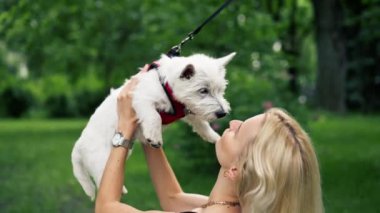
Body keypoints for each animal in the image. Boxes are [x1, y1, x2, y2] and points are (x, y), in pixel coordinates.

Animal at [71, 51, 235, 200]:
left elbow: (199, 121)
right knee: (101, 178)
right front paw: (155, 137)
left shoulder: (187, 108)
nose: (222, 113)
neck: (167, 87)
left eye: (221, 90)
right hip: (99, 158)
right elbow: (154, 116)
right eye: (203, 90)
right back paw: (119, 189)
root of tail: (78, 145)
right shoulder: (142, 99)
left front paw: (213, 136)